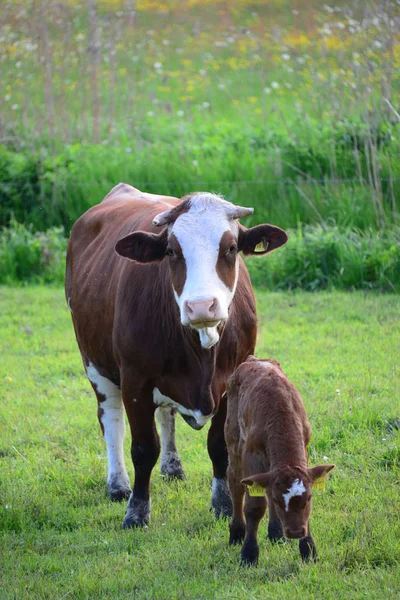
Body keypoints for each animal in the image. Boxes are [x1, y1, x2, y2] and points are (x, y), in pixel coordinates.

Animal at [65, 180, 288, 528]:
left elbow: (219, 446)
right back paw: (117, 484)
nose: (201, 305)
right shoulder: (136, 382)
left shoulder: (231, 382)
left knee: (166, 415)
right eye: (171, 251)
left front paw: (223, 504)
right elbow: (143, 448)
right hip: (94, 363)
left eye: (231, 248)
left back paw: (172, 466)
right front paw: (137, 511)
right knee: (111, 420)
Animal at [225, 356, 334, 568]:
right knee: (235, 483)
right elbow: (255, 506)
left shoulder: (304, 450)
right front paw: (249, 553)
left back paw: (275, 533)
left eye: (309, 498)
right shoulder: (251, 455)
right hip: (234, 441)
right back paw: (237, 531)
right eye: (277, 500)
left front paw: (308, 550)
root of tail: (253, 359)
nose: (295, 531)